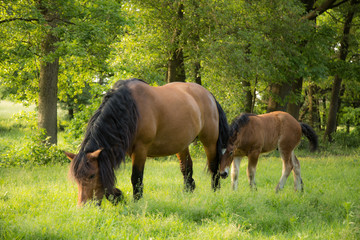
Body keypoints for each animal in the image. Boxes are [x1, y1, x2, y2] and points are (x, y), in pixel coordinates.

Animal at [64, 79, 228, 206]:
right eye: (77, 178)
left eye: (92, 176)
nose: (83, 206)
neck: (130, 109)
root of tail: (208, 94)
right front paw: (117, 196)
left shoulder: (140, 150)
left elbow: (136, 177)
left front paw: (136, 201)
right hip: (182, 144)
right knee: (186, 167)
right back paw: (188, 193)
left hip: (209, 140)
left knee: (213, 166)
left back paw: (215, 191)